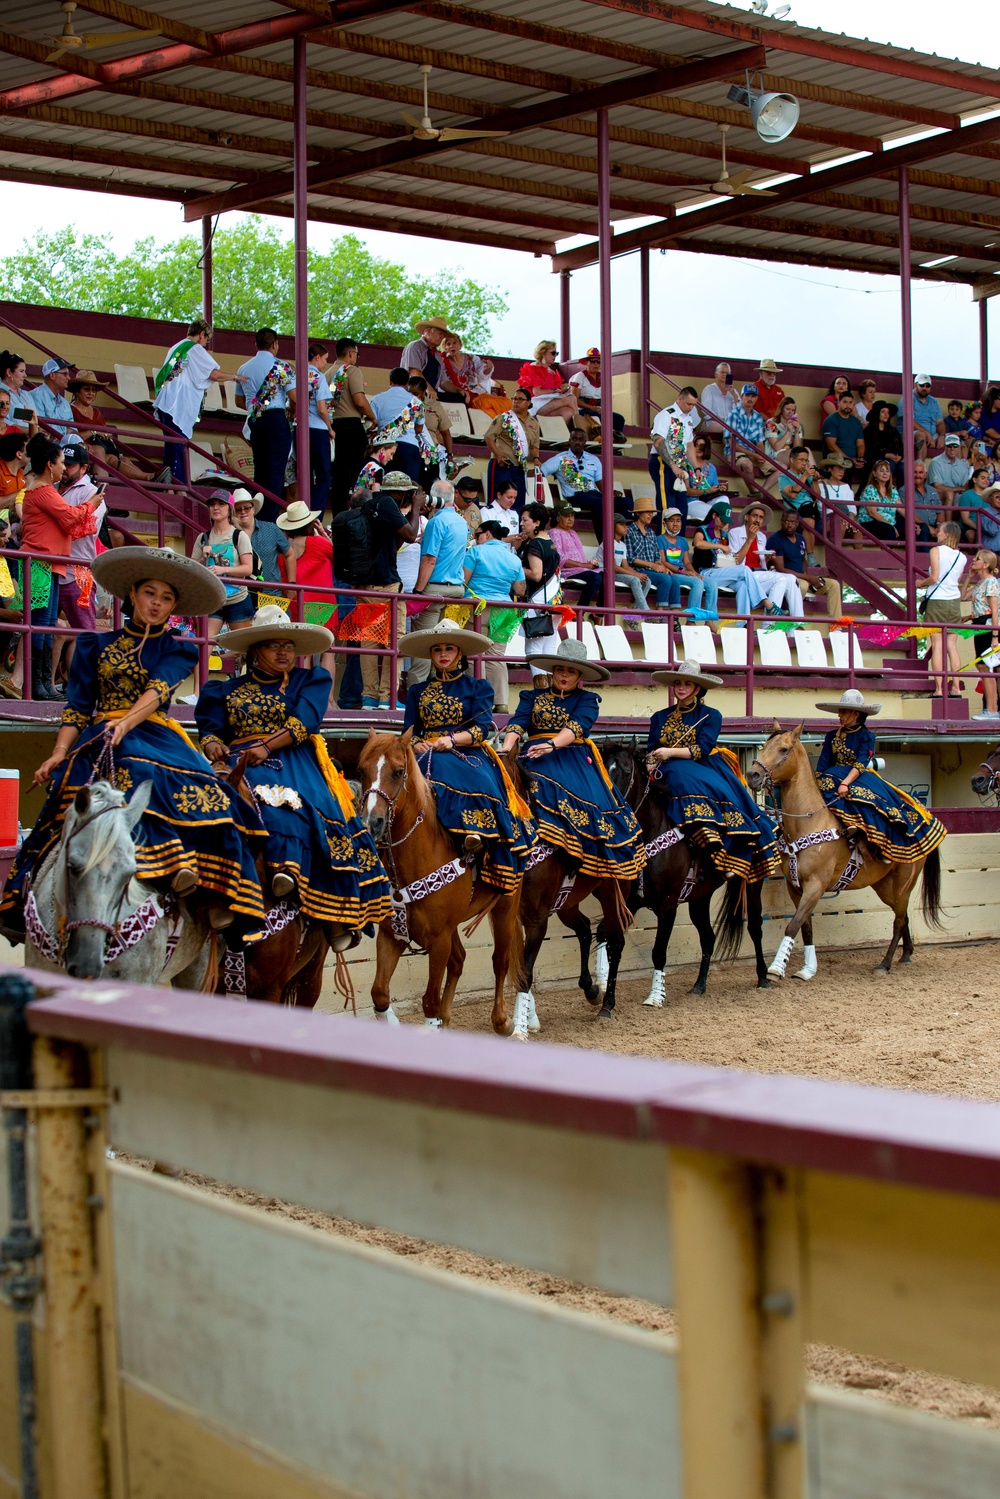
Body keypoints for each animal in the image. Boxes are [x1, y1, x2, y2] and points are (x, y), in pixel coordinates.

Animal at [746, 719, 941, 977]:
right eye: (765, 746)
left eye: (783, 749)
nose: (753, 775)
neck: (808, 823)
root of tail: (926, 818)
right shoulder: (795, 887)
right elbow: (805, 927)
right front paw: (808, 969)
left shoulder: (815, 886)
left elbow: (792, 926)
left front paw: (777, 969)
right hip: (884, 887)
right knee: (903, 916)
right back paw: (906, 954)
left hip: (902, 884)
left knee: (899, 921)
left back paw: (884, 964)